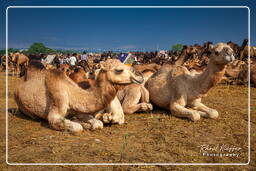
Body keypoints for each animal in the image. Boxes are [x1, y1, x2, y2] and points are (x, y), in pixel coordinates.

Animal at [14, 58, 144, 132]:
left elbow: (98, 123)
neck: (72, 94)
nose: (140, 76)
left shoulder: (79, 110)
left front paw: (86, 123)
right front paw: (83, 125)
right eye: (118, 70)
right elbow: (77, 127)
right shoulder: (56, 107)